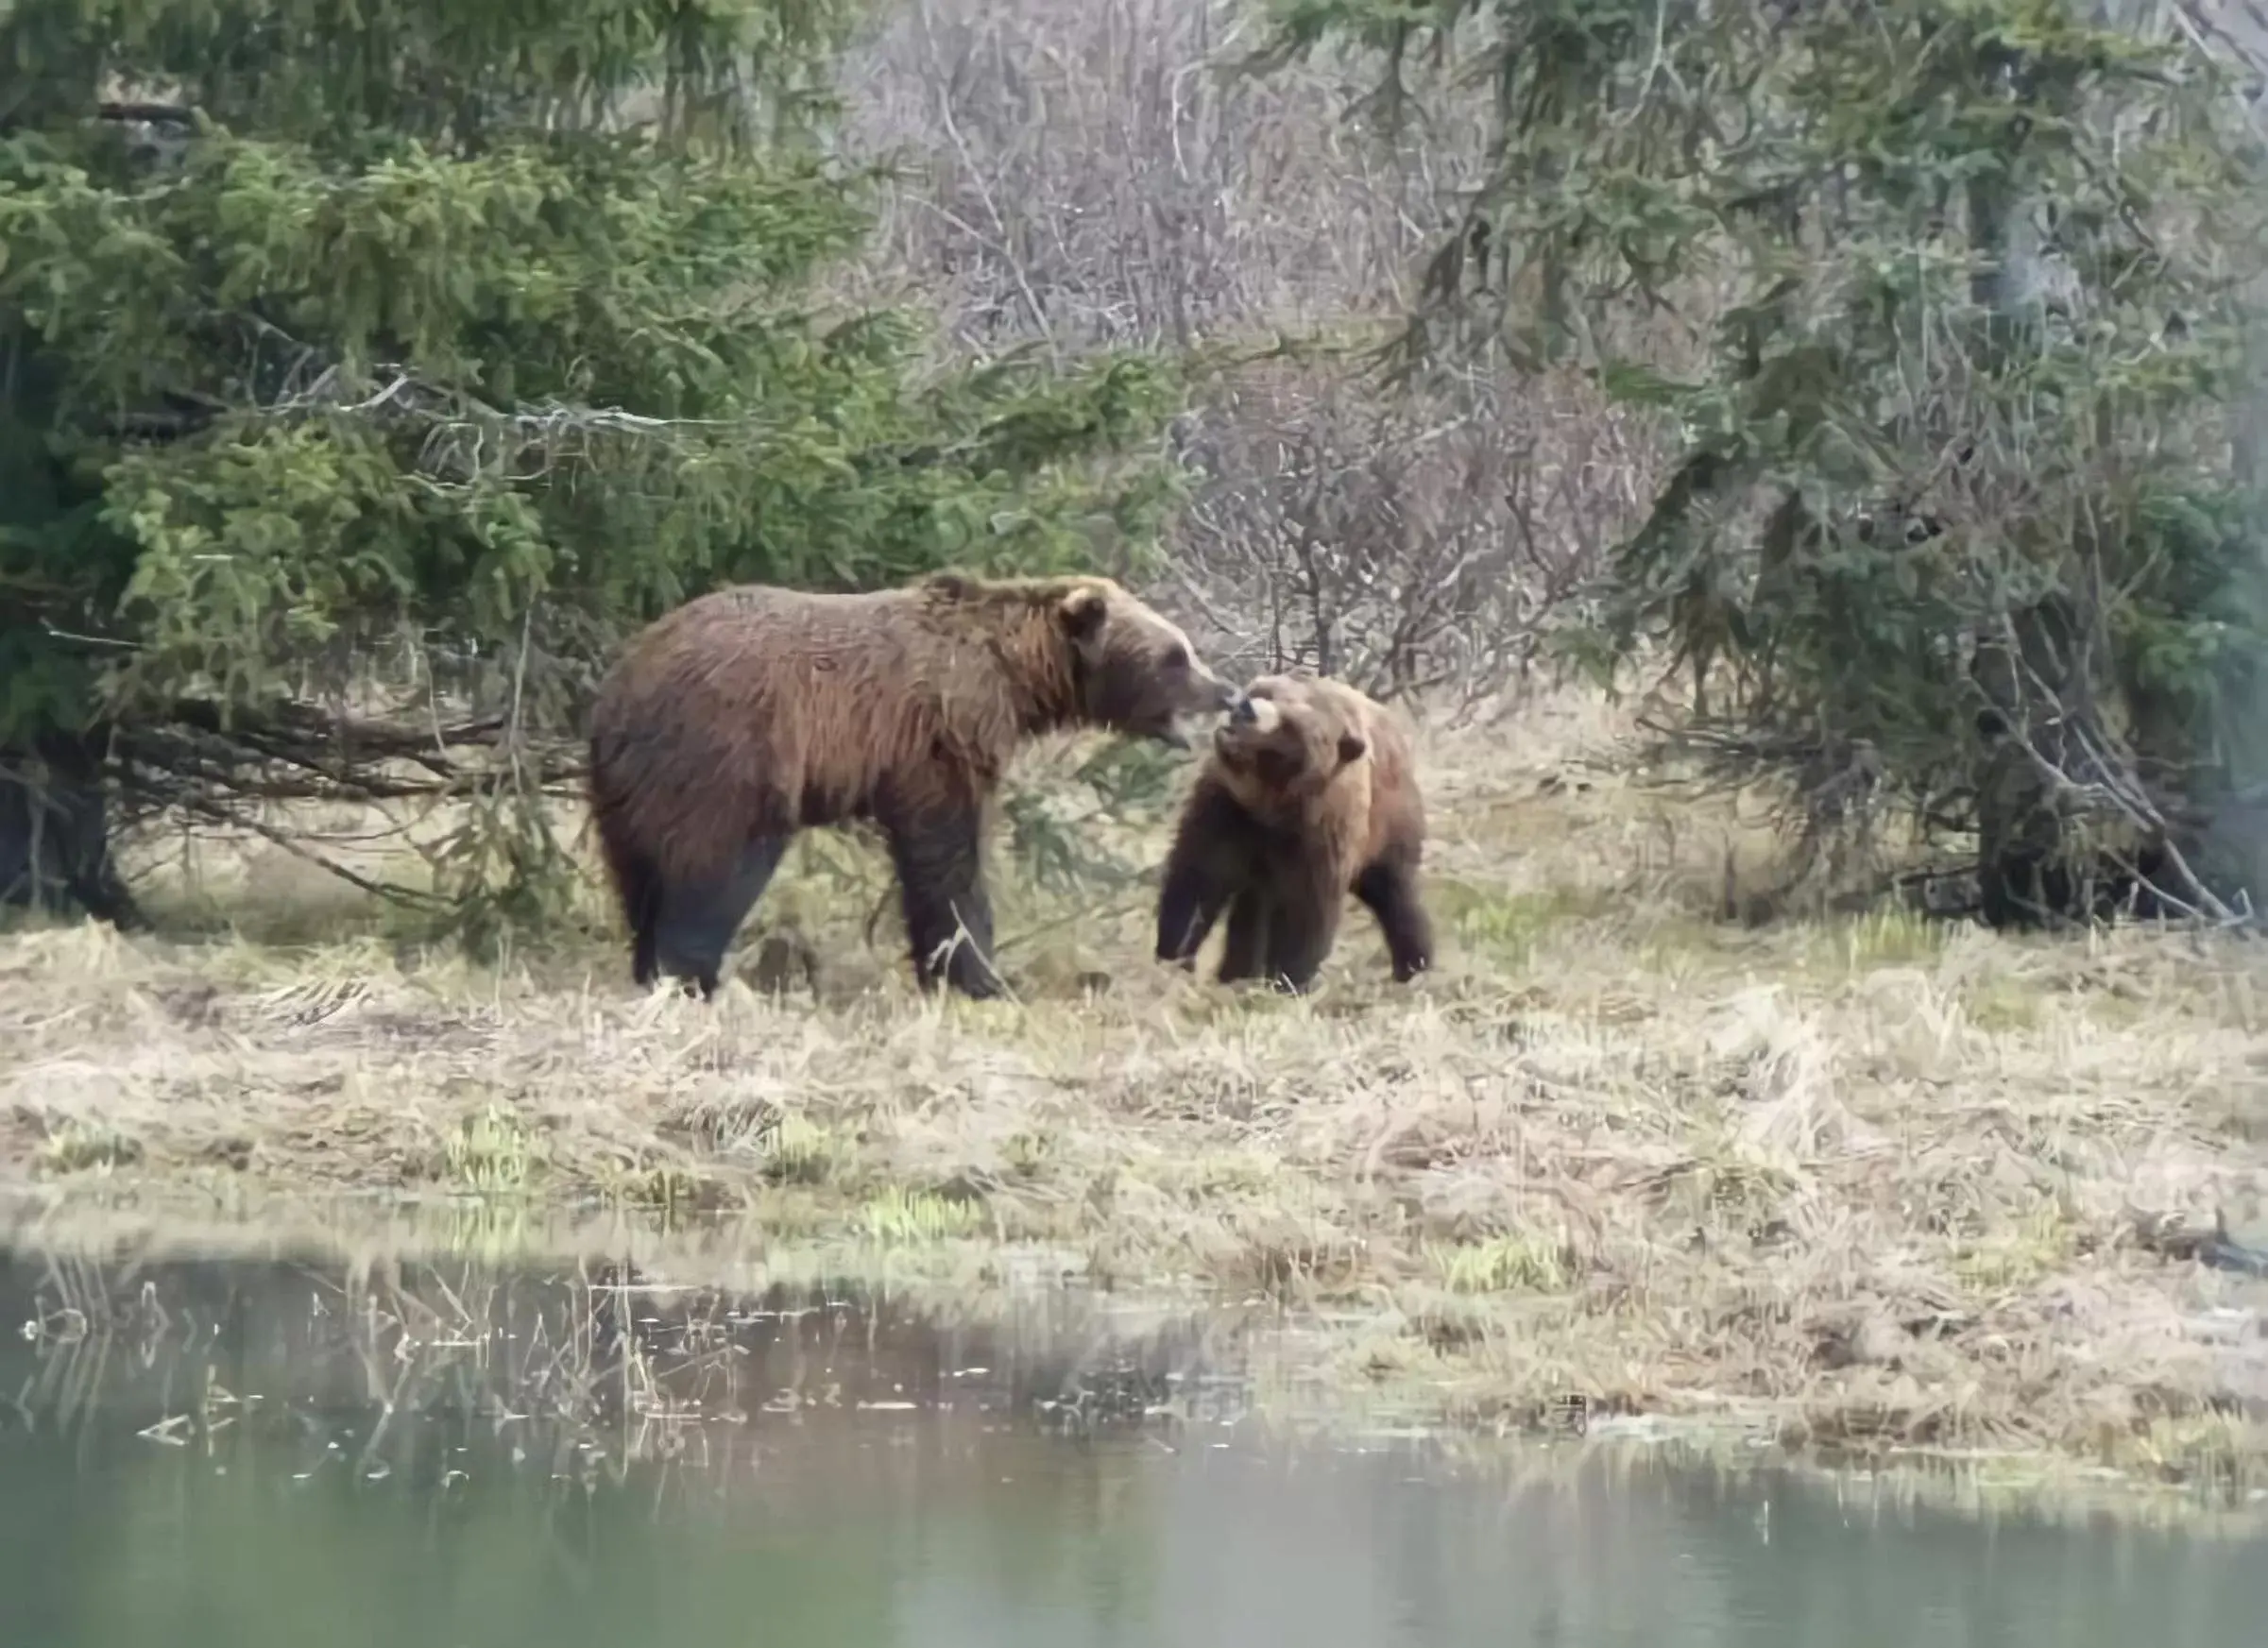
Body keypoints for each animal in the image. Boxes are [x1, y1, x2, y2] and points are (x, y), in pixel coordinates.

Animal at [575, 567, 1234, 1006]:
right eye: (1175, 654)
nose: (1226, 689)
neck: (1015, 676)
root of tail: (622, 686)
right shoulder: (939, 741)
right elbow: (948, 861)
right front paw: (980, 975)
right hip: (728, 756)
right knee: (714, 870)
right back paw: (693, 976)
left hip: (628, 785)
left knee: (638, 873)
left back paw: (649, 963)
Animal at [1151, 671, 1433, 993]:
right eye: (1265, 692)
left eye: (1290, 727)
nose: (1245, 709)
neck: (1273, 807)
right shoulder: (1227, 809)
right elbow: (1199, 879)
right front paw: (1173, 957)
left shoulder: (1320, 832)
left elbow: (1306, 912)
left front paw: (1286, 981)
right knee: (1252, 908)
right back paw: (1236, 972)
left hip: (1388, 829)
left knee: (1396, 896)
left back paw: (1414, 965)